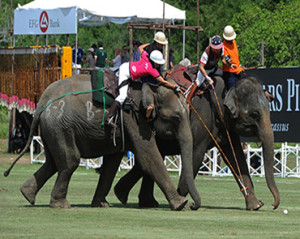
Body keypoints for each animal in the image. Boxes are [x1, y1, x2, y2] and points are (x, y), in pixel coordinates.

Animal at [4, 72, 202, 210]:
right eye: (176, 118)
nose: (193, 205)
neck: (148, 87)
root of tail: (42, 101)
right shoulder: (133, 118)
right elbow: (149, 157)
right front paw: (181, 205)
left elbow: (112, 163)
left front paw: (102, 204)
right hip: (60, 125)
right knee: (70, 162)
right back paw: (61, 205)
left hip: (52, 128)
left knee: (53, 163)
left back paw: (27, 195)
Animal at [113, 74, 280, 211]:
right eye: (255, 114)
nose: (273, 204)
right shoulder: (203, 120)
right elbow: (196, 156)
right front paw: (186, 203)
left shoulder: (224, 125)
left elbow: (235, 156)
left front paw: (255, 205)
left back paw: (129, 197)